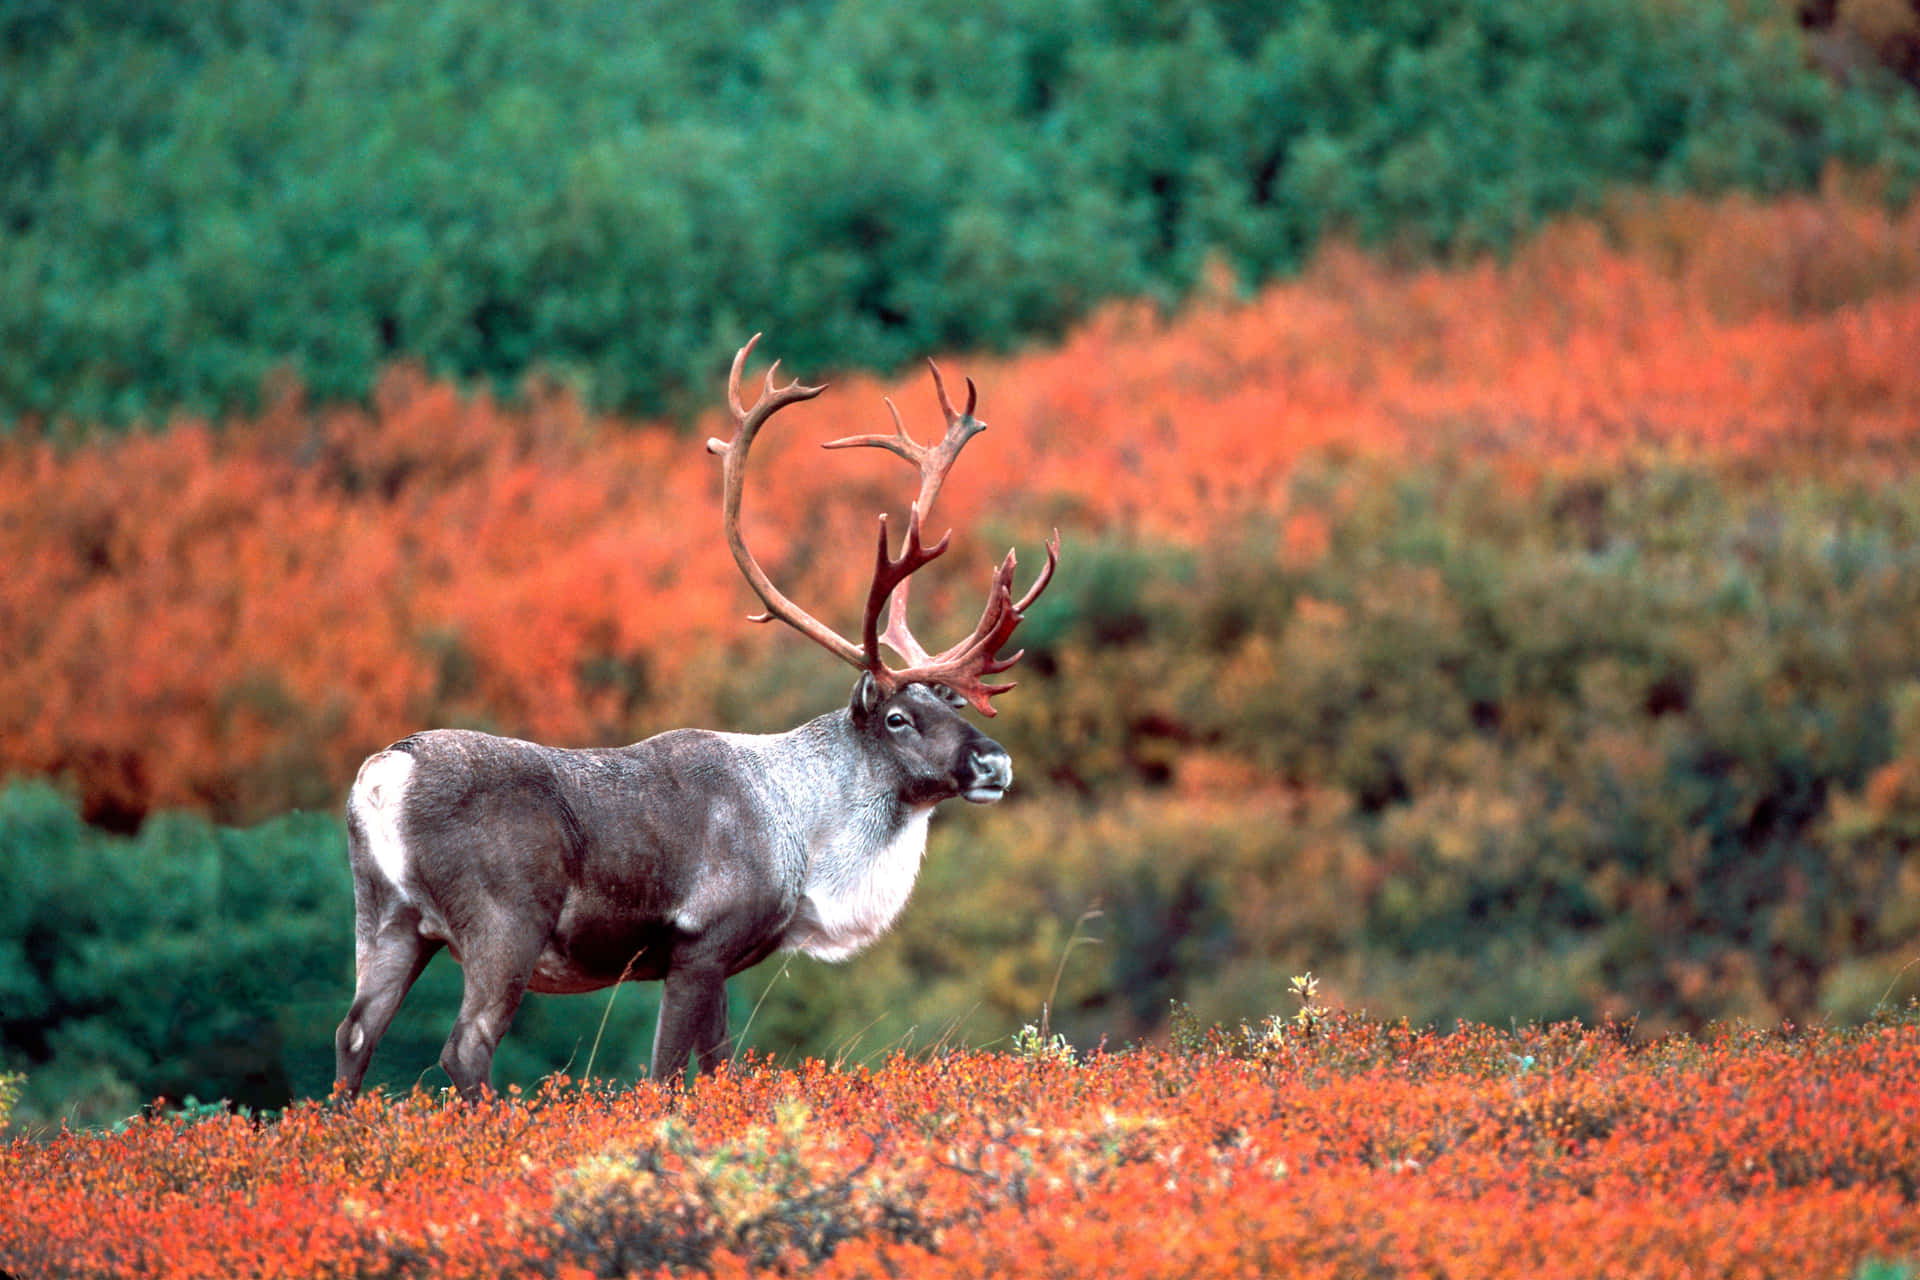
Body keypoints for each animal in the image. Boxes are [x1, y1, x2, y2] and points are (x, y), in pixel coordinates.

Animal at [333, 335, 1058, 1099]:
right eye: (896, 718)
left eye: (949, 703)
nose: (993, 761)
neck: (803, 833)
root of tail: (384, 774)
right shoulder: (698, 946)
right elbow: (666, 1074)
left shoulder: (727, 961)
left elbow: (717, 1066)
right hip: (503, 924)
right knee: (466, 1043)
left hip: (387, 918)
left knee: (354, 1033)